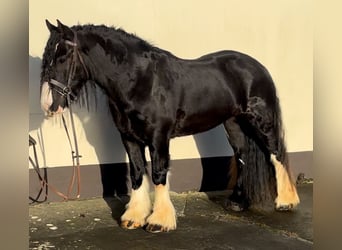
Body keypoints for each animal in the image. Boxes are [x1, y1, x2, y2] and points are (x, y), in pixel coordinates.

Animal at [40, 20, 300, 233]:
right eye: (46, 55)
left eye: (62, 56)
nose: (47, 104)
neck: (140, 80)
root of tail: (257, 67)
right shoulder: (129, 137)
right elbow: (137, 173)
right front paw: (133, 218)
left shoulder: (158, 137)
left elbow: (158, 173)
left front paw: (159, 221)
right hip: (234, 123)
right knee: (242, 155)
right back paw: (237, 202)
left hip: (261, 121)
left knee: (276, 154)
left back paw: (286, 202)